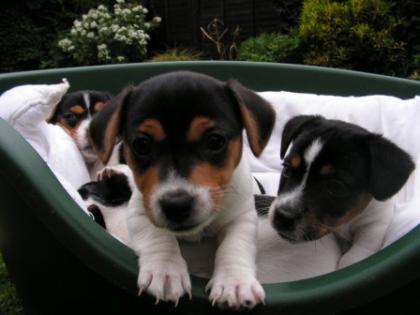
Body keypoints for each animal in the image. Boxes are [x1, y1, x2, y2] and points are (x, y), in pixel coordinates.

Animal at [88, 71, 276, 308]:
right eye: (142, 145)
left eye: (215, 141)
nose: (176, 206)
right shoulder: (141, 208)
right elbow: (157, 235)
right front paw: (165, 271)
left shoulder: (242, 216)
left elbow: (234, 244)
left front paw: (234, 282)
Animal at [270, 116, 414, 270]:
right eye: (287, 170)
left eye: (335, 187)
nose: (282, 216)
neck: (345, 223)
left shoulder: (374, 224)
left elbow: (355, 256)